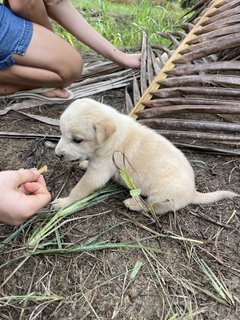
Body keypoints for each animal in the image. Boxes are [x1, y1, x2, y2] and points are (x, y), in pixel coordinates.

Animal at [52, 97, 238, 212]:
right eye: (61, 133)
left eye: (77, 140)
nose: (57, 155)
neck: (112, 136)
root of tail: (193, 192)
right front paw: (84, 163)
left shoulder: (99, 171)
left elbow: (80, 189)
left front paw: (64, 202)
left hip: (161, 195)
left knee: (151, 207)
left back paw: (133, 204)